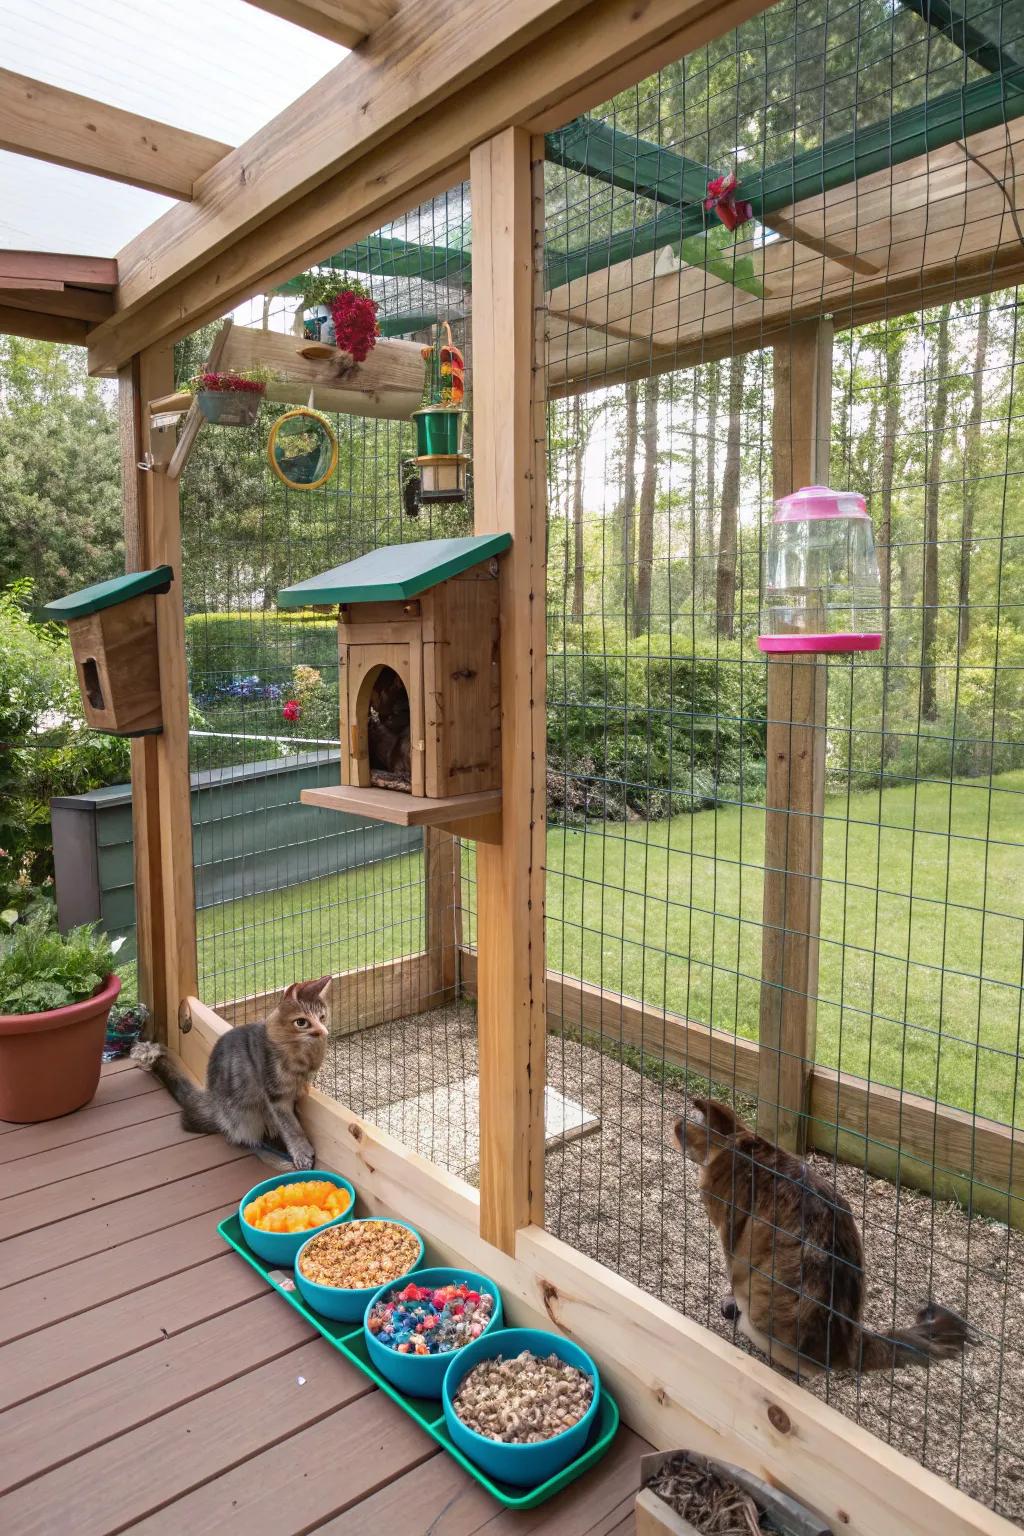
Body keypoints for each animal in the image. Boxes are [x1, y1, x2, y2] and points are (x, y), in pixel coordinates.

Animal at [131, 976, 333, 1167]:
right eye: (301, 1022)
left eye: (322, 1017)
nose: (323, 1032)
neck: (302, 1056)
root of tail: (212, 1104)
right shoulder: (275, 1095)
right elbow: (291, 1127)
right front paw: (302, 1153)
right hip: (243, 1117)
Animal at [672, 1093, 976, 1382]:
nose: (674, 1124)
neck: (743, 1144)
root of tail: (853, 1346)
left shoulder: (731, 1238)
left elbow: (731, 1279)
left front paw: (729, 1304)